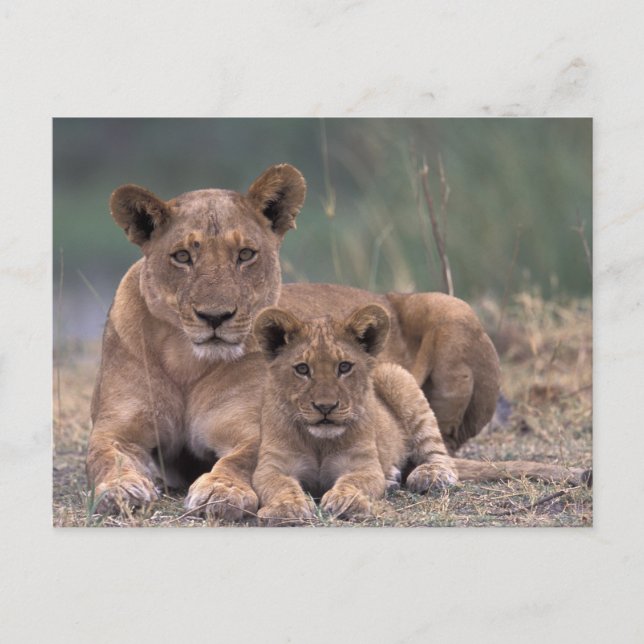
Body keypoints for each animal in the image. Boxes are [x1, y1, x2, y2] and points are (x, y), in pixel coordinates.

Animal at [87, 163, 501, 519]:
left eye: (246, 254)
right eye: (183, 256)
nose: (215, 317)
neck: (185, 361)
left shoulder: (259, 430)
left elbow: (240, 459)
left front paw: (221, 490)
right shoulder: (116, 429)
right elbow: (105, 456)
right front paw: (122, 489)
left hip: (452, 308)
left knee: (438, 444)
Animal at [251, 305, 589, 525]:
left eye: (344, 367)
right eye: (302, 369)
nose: (325, 407)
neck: (319, 442)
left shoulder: (362, 465)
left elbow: (355, 482)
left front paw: (347, 500)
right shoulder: (271, 466)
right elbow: (278, 486)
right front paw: (287, 507)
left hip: (397, 377)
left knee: (442, 458)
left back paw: (427, 476)